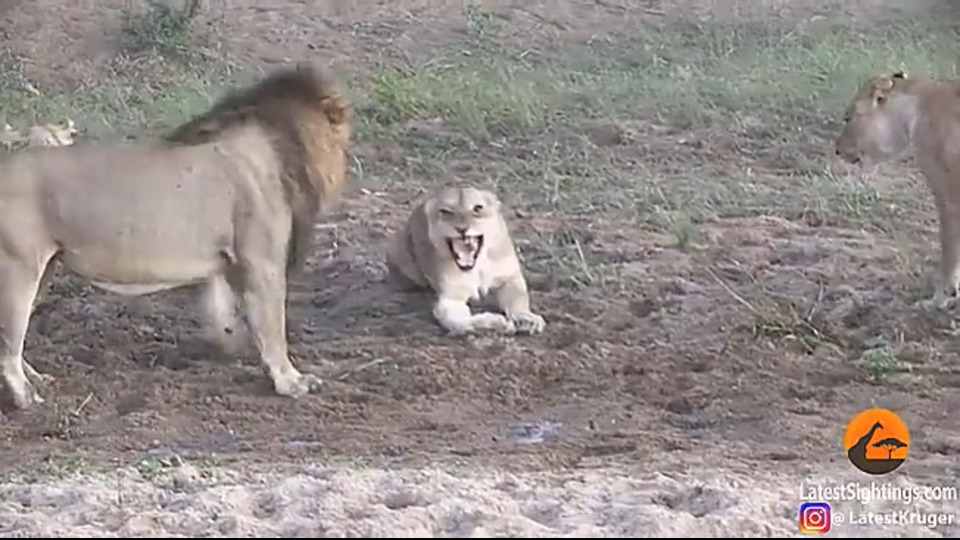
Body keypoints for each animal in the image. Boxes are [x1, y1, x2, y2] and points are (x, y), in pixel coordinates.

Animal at [0, 63, 352, 412]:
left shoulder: (224, 261)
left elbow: (219, 307)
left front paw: (228, 344)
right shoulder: (262, 261)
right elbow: (273, 326)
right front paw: (290, 381)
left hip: (44, 270)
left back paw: (38, 379)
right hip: (18, 269)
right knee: (9, 343)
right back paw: (25, 395)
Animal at [385, 184, 546, 336]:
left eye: (477, 208)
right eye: (445, 212)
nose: (462, 229)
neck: (478, 265)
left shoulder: (509, 277)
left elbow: (518, 299)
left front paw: (526, 318)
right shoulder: (451, 298)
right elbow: (459, 321)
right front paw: (492, 323)